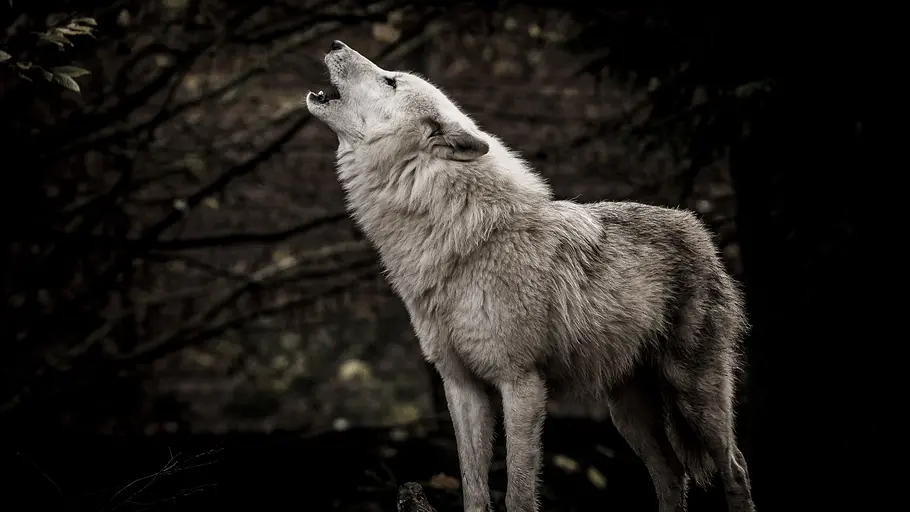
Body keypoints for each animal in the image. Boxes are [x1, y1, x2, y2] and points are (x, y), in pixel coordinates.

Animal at [305, 40, 755, 512]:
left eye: (391, 80)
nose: (336, 44)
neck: (460, 238)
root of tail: (696, 226)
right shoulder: (461, 386)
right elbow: (474, 490)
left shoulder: (520, 383)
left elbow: (518, 493)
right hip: (626, 411)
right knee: (671, 475)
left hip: (694, 393)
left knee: (735, 466)